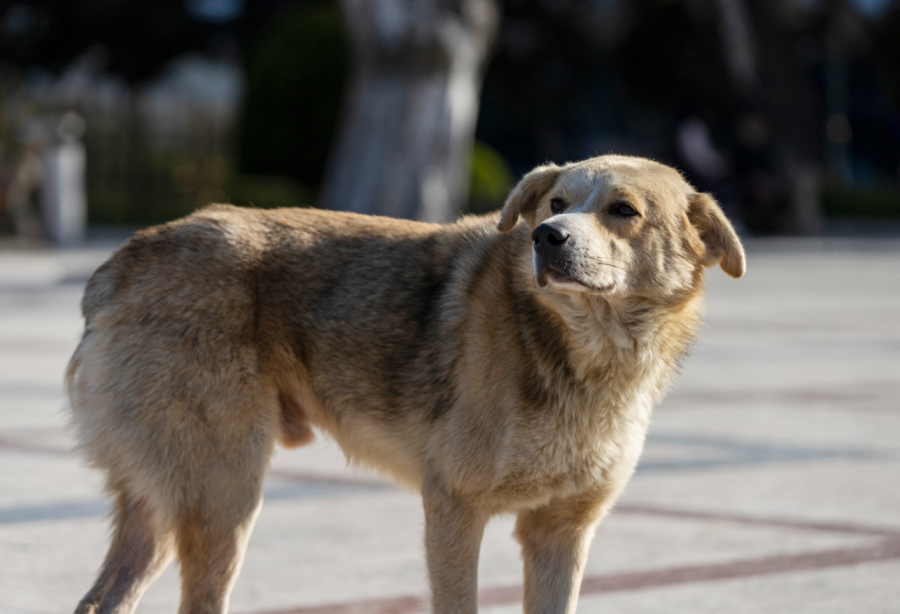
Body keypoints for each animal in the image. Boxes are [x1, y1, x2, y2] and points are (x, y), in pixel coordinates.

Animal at [67, 155, 744, 614]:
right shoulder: (453, 508)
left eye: (623, 211)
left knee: (101, 601)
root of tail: (125, 259)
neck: (588, 353)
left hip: (169, 503)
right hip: (223, 492)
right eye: (556, 204)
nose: (544, 238)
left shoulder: (561, 532)